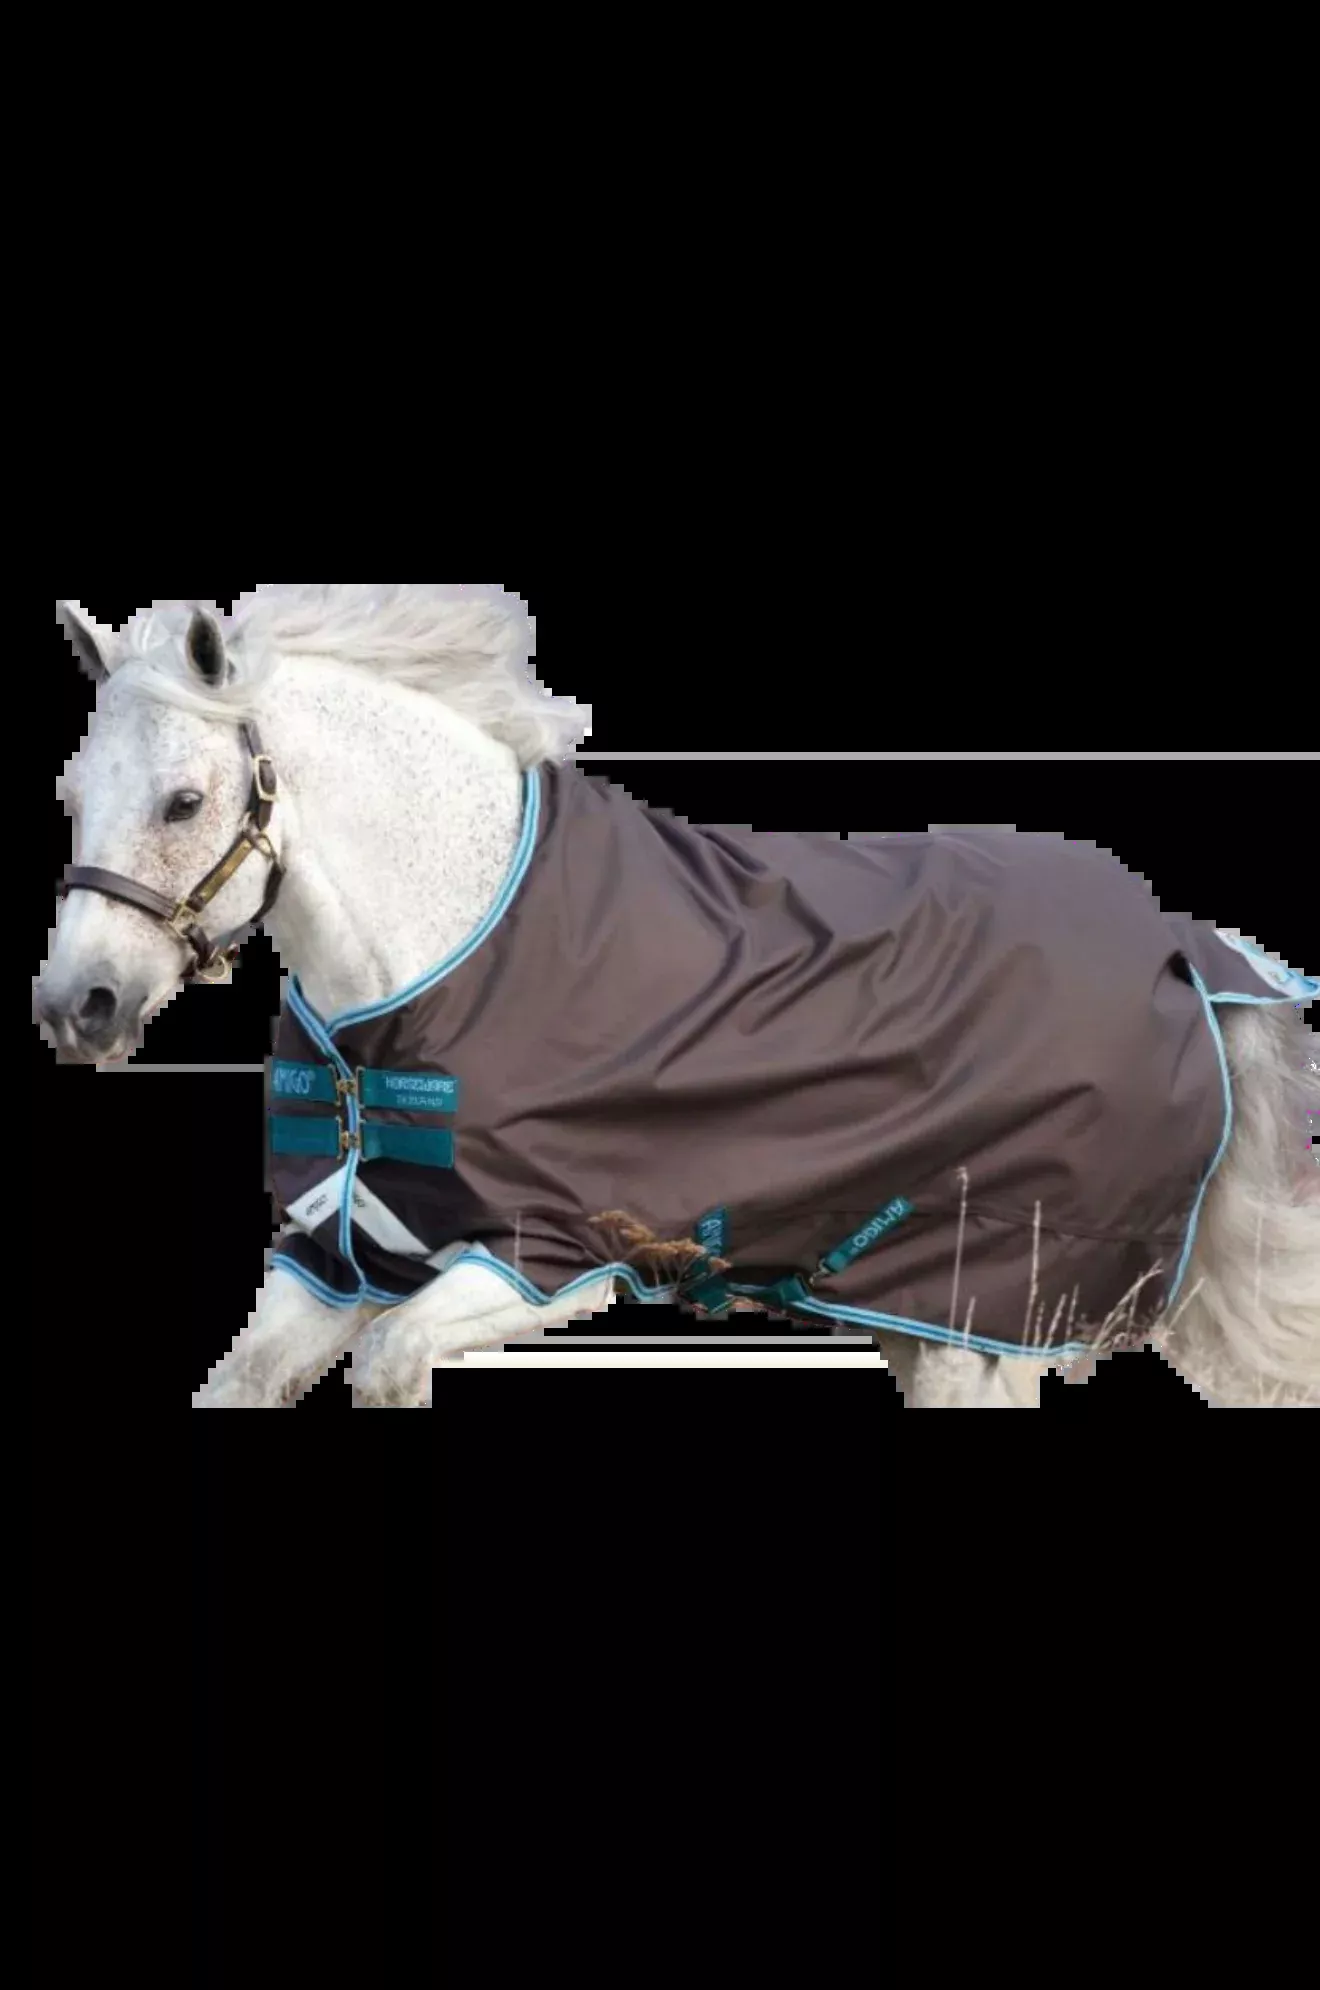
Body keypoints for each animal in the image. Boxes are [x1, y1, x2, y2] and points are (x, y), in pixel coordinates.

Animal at [39, 590, 1319, 1408]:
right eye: (73, 794)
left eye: (185, 800)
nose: (76, 1003)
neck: (446, 950)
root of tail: (1187, 948)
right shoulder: (337, 1253)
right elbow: (244, 1380)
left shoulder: (542, 1258)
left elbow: (393, 1361)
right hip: (916, 1308)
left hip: (984, 1305)